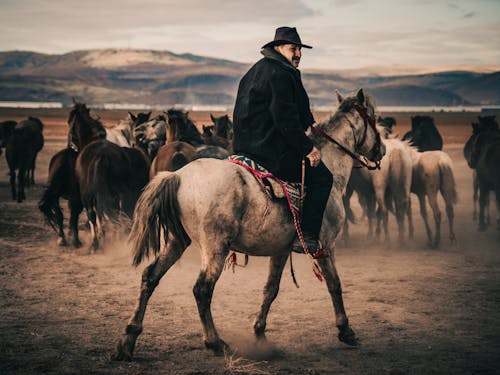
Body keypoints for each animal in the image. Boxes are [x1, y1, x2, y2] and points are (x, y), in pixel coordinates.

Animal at [114, 88, 386, 362]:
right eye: (374, 117)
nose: (382, 150)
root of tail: (178, 176)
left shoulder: (280, 250)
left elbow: (270, 289)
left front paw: (259, 333)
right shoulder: (325, 246)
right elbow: (335, 284)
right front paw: (345, 329)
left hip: (177, 240)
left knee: (150, 276)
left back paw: (128, 340)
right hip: (214, 248)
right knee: (202, 289)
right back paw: (215, 342)